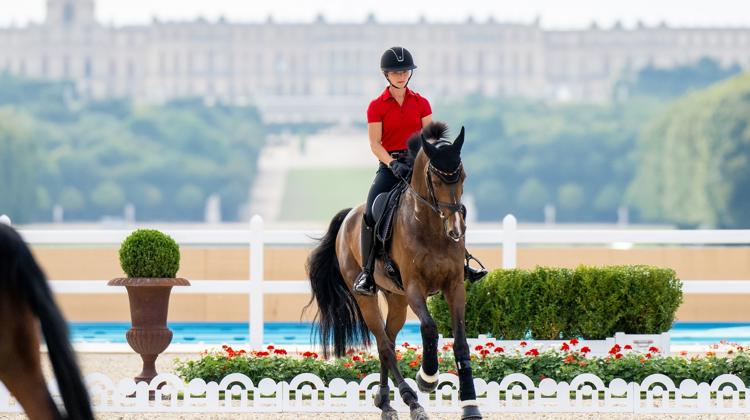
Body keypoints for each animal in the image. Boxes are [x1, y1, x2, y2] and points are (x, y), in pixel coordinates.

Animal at [308, 122, 484, 420]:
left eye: (463, 177)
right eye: (436, 181)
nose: (456, 230)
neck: (431, 228)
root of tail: (348, 217)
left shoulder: (454, 286)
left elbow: (461, 342)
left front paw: (470, 405)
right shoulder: (415, 288)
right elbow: (429, 327)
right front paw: (428, 378)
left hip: (397, 298)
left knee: (387, 340)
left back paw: (386, 403)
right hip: (366, 296)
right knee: (384, 346)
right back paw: (411, 400)